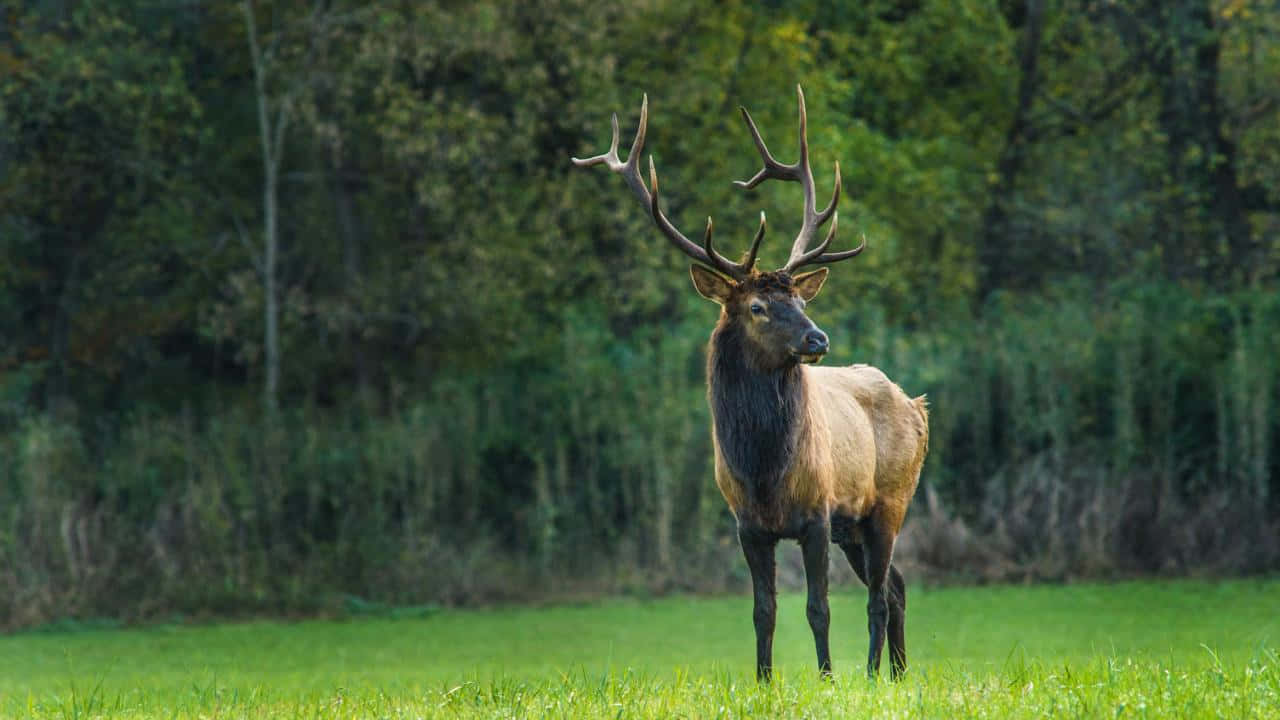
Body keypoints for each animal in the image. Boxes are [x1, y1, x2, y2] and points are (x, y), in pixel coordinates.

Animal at [572, 86, 928, 681]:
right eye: (758, 307)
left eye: (801, 298)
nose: (818, 337)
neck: (764, 468)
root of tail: (918, 406)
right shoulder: (747, 523)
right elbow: (764, 610)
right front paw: (763, 681)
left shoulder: (816, 513)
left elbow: (818, 608)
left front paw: (827, 678)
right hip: (854, 526)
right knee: (897, 587)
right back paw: (898, 675)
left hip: (888, 501)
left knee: (880, 595)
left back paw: (875, 675)